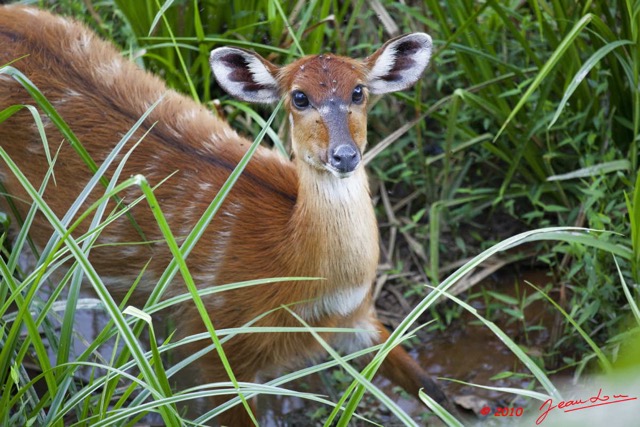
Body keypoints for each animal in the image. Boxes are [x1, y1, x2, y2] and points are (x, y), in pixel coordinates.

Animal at [0, 5, 452, 426]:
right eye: (299, 97)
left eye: (359, 92)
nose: (344, 155)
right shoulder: (219, 346)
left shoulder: (359, 317)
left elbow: (432, 388)